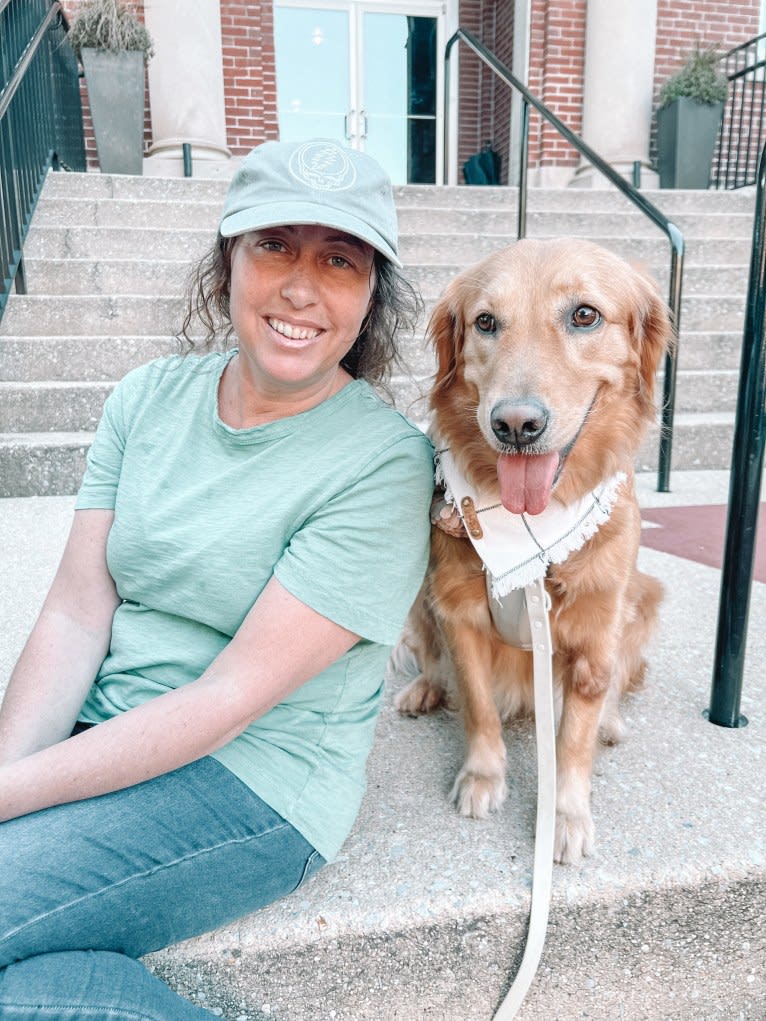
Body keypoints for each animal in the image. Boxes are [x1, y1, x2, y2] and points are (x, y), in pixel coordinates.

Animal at [396, 236, 669, 861]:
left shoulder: (596, 631)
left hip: (644, 596)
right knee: (430, 657)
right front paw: (483, 777)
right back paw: (423, 688)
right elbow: (477, 704)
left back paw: (611, 722)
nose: (515, 425)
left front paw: (565, 815)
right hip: (416, 594)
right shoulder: (456, 610)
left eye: (584, 315)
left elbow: (572, 740)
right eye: (485, 322)